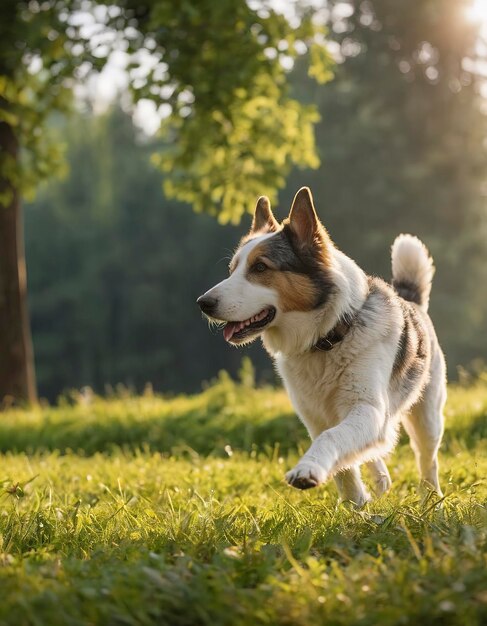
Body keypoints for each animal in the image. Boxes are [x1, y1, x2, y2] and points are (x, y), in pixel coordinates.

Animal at [197, 186, 446, 508]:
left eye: (260, 267)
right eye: (231, 270)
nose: (203, 303)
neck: (326, 339)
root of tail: (411, 299)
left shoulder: (368, 408)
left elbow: (334, 439)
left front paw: (308, 471)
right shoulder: (316, 417)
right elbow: (343, 464)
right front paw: (357, 506)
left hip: (428, 416)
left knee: (427, 459)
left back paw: (431, 498)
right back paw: (380, 480)